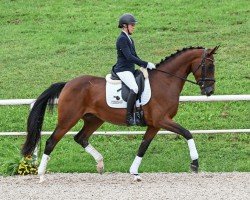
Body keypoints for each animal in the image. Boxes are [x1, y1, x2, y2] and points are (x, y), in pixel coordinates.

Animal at [22, 46, 220, 181]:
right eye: (209, 66)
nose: (209, 91)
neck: (166, 81)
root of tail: (68, 84)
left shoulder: (154, 125)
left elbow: (143, 146)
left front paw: (134, 173)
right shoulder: (162, 120)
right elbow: (187, 133)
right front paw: (194, 164)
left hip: (94, 119)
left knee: (81, 138)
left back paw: (100, 164)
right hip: (68, 119)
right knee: (51, 141)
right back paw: (42, 175)